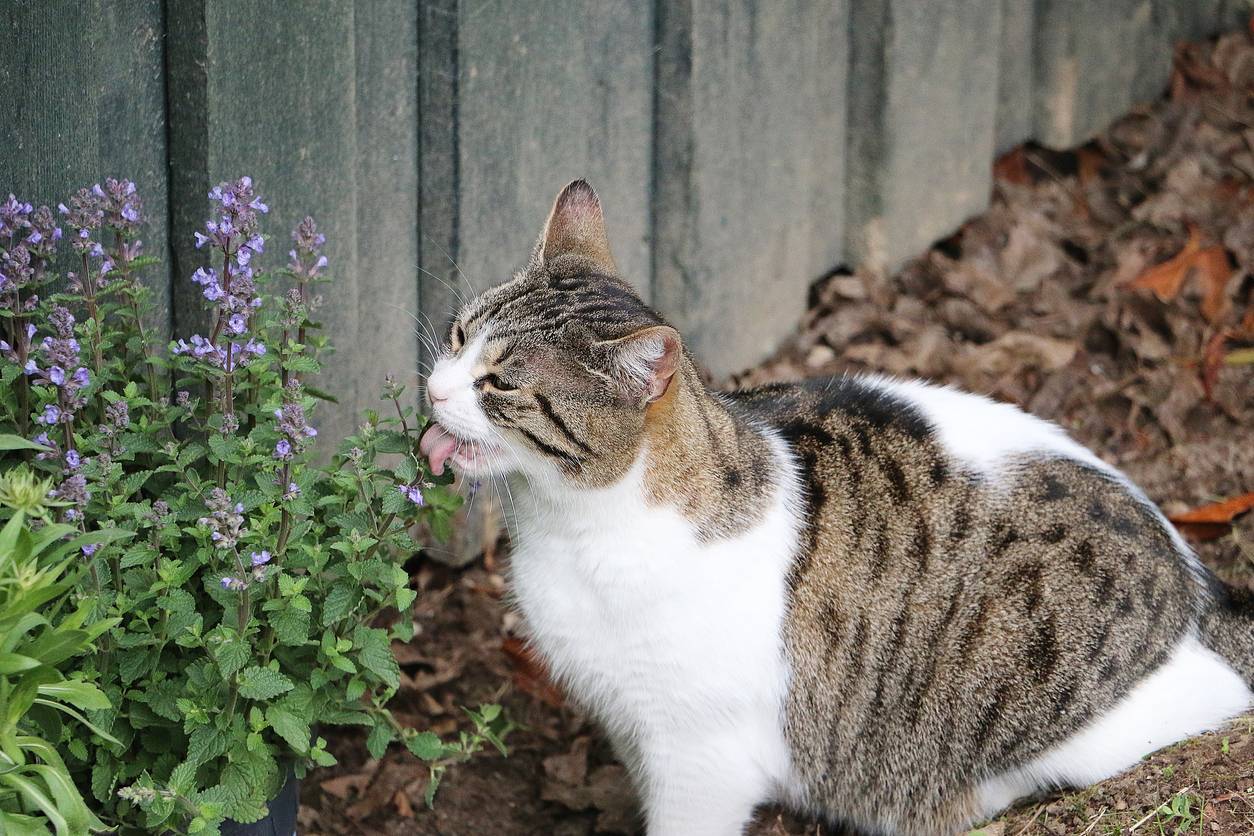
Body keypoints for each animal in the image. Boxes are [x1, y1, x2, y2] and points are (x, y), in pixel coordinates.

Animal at [423, 181, 1254, 836]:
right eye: (459, 335)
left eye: (498, 385)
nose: (432, 390)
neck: (569, 524)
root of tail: (1198, 584)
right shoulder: (632, 721)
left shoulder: (700, 754)